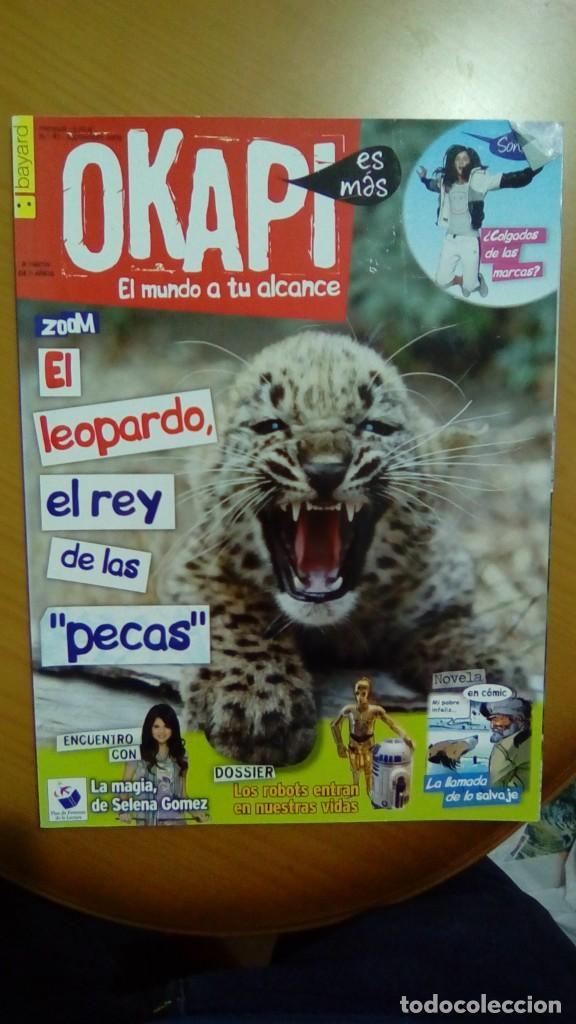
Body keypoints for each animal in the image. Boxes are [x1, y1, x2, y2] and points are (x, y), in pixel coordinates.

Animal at [160, 330, 520, 766]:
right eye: (269, 425)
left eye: (376, 426)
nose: (325, 469)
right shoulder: (195, 565)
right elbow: (230, 610)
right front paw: (255, 705)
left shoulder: (445, 575)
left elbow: (448, 620)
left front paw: (490, 672)